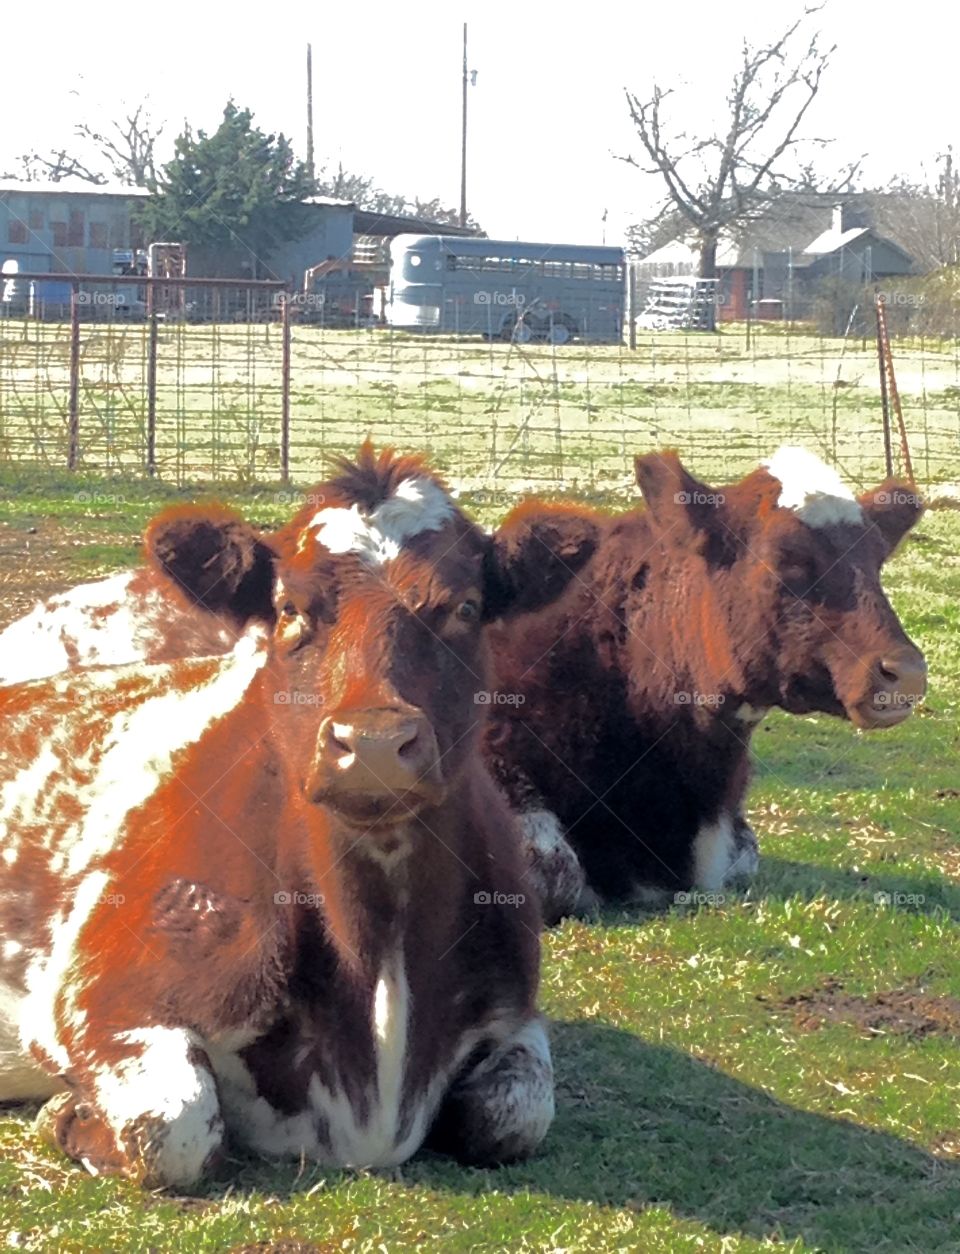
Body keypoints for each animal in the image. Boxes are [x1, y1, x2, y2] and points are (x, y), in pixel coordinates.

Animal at [0, 446, 596, 1188]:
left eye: (465, 606)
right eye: (288, 609)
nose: (373, 743)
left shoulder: (516, 1012)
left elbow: (514, 1116)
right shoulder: (95, 997)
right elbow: (175, 1125)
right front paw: (68, 1114)